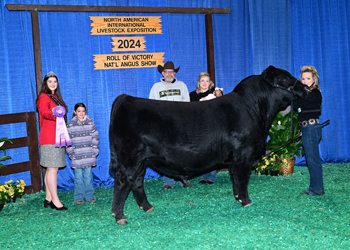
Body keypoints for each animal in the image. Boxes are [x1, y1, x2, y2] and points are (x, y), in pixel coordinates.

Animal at [108, 65, 306, 224]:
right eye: (283, 78)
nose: (304, 87)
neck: (254, 109)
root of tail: (126, 98)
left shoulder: (235, 160)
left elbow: (236, 180)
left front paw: (237, 197)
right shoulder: (243, 156)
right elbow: (242, 180)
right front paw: (246, 201)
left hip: (142, 161)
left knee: (137, 181)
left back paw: (147, 207)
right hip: (131, 158)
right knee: (123, 180)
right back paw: (120, 216)